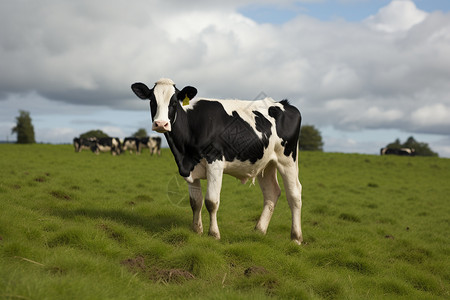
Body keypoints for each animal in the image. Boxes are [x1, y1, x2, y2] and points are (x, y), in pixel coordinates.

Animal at [132, 77, 304, 244]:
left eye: (174, 102)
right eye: (152, 101)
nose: (161, 124)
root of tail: (283, 104)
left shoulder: (215, 162)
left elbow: (211, 201)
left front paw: (214, 234)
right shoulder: (189, 168)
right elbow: (195, 202)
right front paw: (197, 230)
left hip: (287, 160)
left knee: (294, 194)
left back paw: (296, 237)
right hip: (266, 163)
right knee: (271, 193)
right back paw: (259, 230)